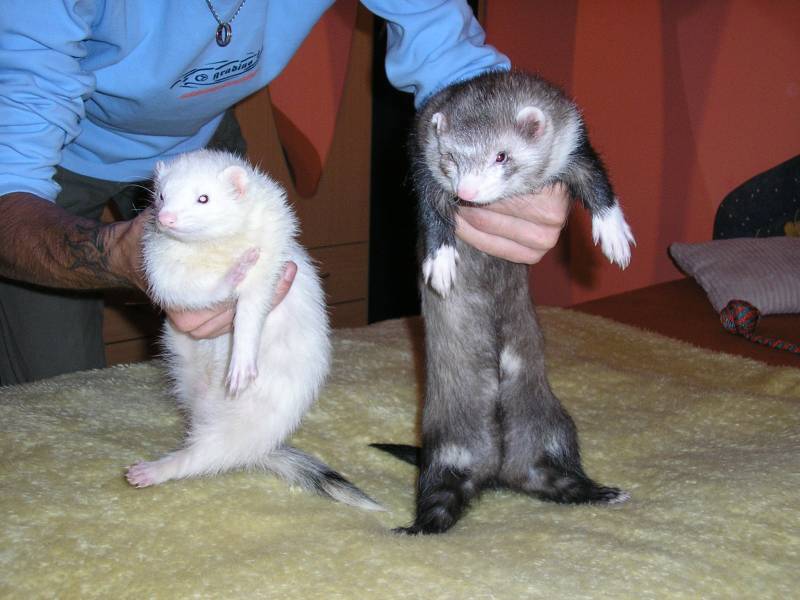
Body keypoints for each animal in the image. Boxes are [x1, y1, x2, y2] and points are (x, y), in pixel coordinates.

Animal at [125, 149, 380, 512]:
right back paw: (149, 470)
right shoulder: (165, 270)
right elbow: (192, 291)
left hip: (246, 425)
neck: (214, 254)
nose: (167, 218)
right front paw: (232, 274)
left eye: (204, 197)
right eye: (160, 195)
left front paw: (241, 366)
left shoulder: (270, 263)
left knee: (203, 457)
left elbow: (250, 311)